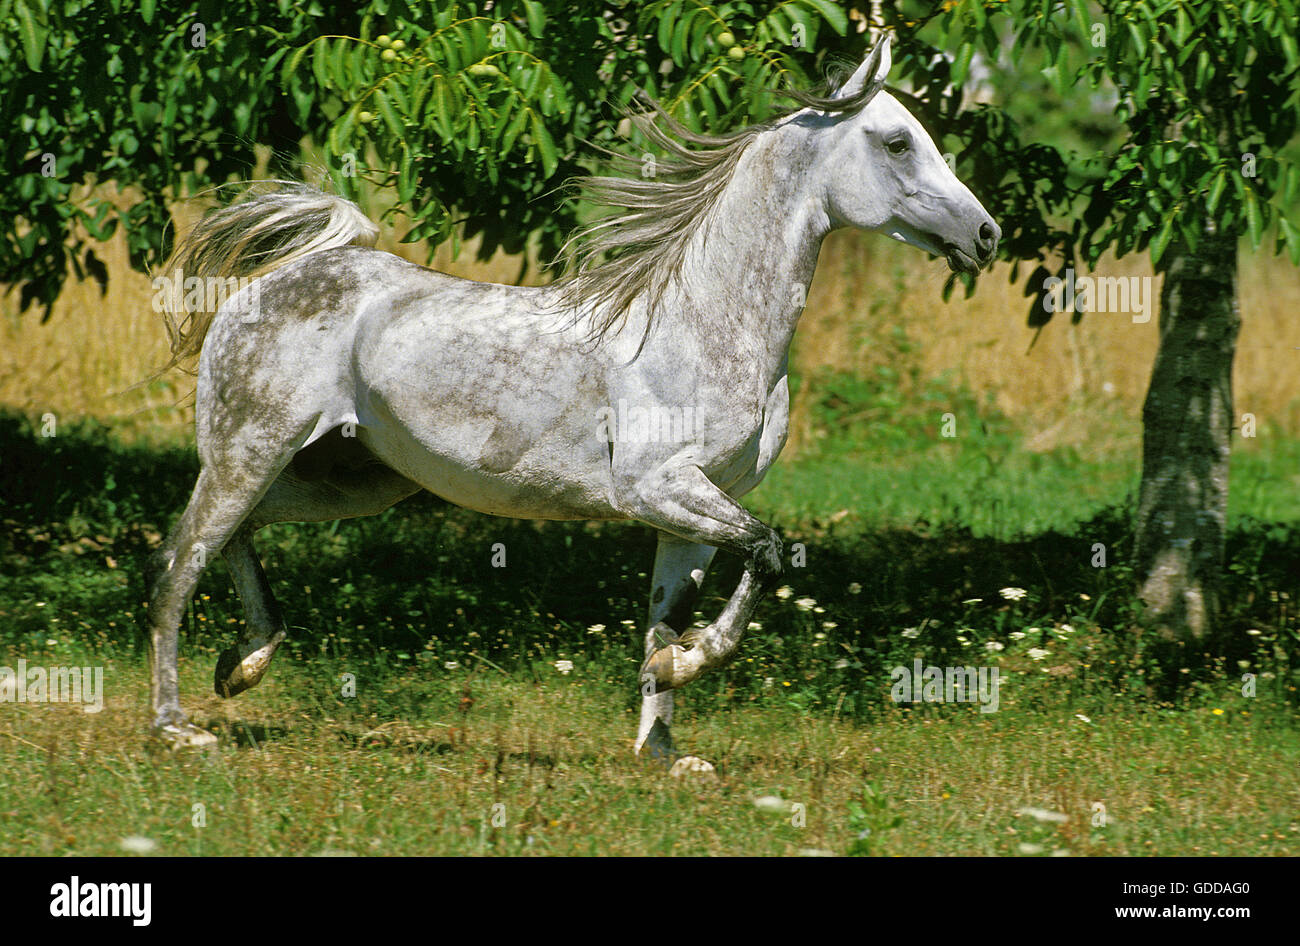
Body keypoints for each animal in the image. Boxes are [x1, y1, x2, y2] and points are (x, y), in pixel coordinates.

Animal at [144, 35, 993, 758]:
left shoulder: (693, 508)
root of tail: (266, 284)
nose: (985, 236)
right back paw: (177, 726)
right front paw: (691, 667)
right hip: (249, 452)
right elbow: (767, 549)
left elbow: (665, 616)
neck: (706, 320)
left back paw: (243, 665)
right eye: (897, 142)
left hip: (350, 480)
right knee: (179, 562)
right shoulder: (655, 488)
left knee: (237, 537)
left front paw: (664, 752)